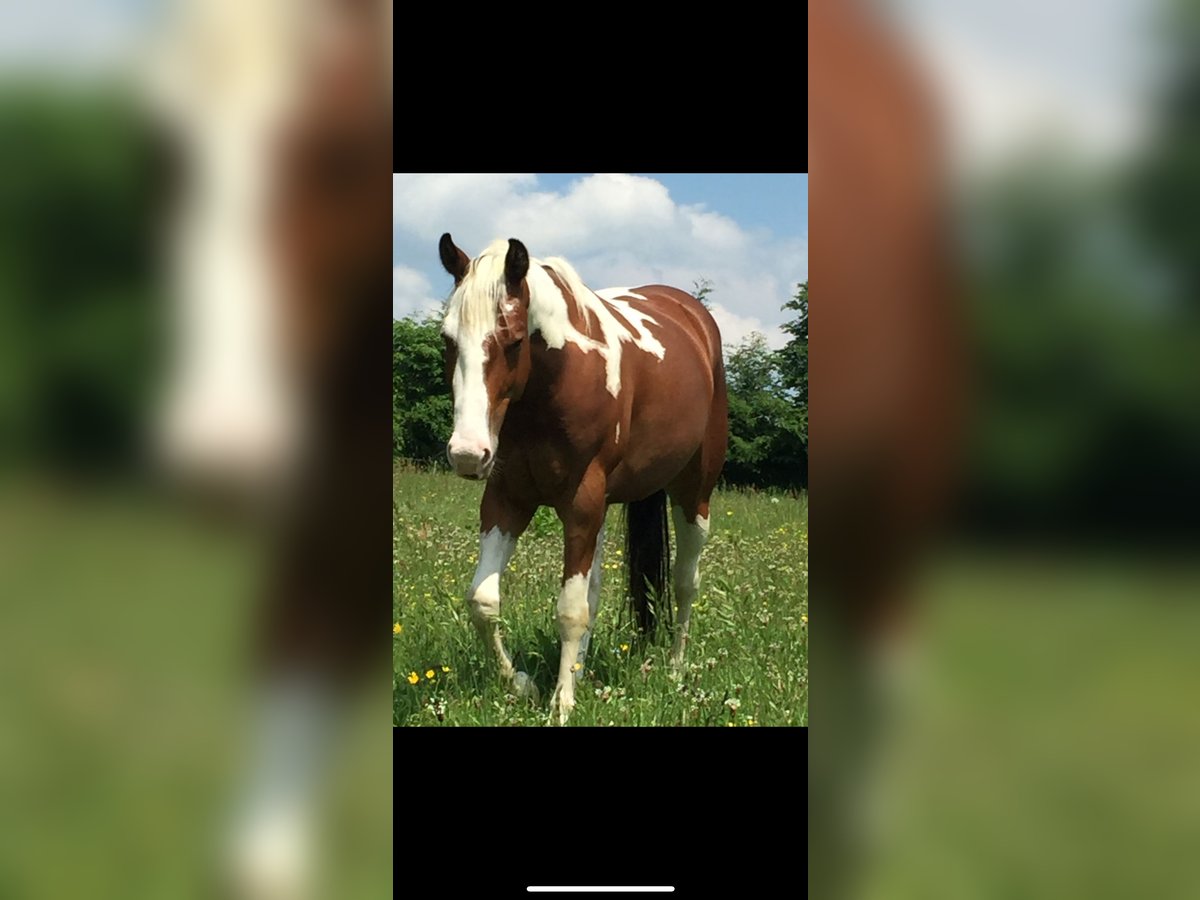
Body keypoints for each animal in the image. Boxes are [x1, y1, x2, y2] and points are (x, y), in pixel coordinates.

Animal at [437, 234, 729, 725]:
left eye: (514, 340)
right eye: (447, 339)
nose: (466, 454)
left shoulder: (581, 503)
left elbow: (571, 610)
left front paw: (562, 703)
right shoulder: (506, 500)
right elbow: (483, 601)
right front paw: (524, 684)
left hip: (694, 495)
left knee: (685, 582)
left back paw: (674, 668)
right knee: (595, 589)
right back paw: (582, 668)